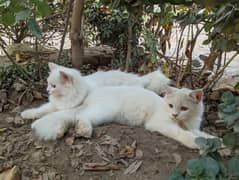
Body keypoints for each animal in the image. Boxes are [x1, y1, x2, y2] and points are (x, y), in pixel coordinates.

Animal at [20, 62, 170, 120]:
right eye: (48, 84)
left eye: (54, 86)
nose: (47, 90)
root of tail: (140, 79)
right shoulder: (53, 105)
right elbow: (40, 110)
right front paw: (27, 114)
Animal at [23, 67, 217, 149]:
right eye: (171, 106)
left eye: (184, 108)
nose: (47, 90)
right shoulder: (162, 124)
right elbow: (182, 134)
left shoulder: (192, 126)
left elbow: (201, 134)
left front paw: (213, 141)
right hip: (103, 111)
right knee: (81, 117)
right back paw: (84, 130)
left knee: (78, 117)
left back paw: (82, 129)